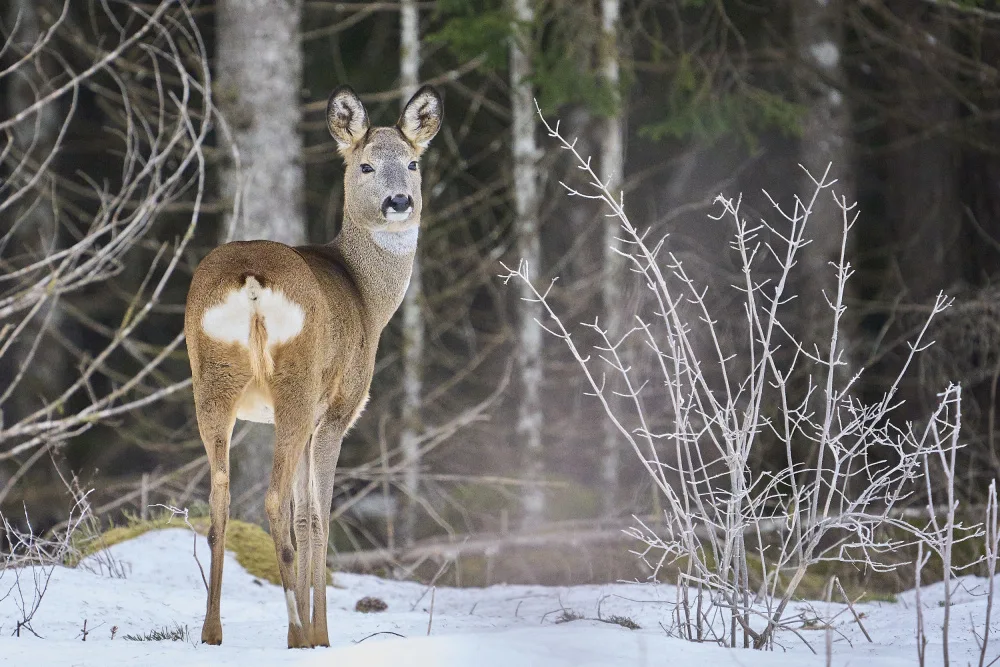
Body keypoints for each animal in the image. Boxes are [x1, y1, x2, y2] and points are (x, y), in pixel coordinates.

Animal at [183, 85, 442, 648]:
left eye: (413, 162)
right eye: (365, 165)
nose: (400, 202)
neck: (368, 298)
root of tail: (250, 279)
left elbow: (304, 517)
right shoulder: (337, 410)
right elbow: (317, 517)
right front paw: (320, 634)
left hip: (211, 379)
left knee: (220, 502)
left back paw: (213, 632)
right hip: (296, 384)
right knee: (274, 502)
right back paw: (300, 630)